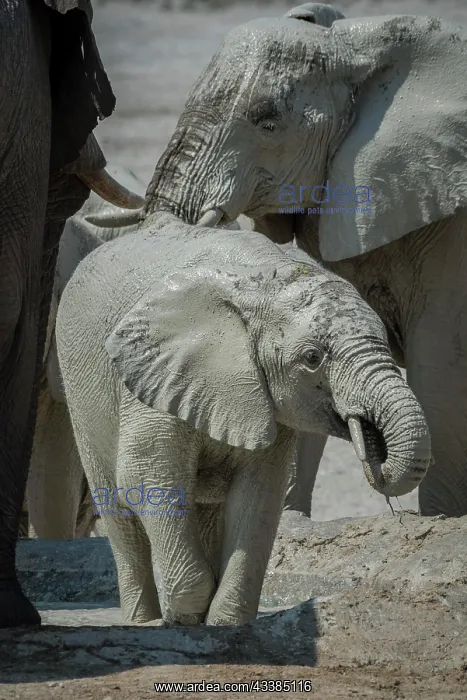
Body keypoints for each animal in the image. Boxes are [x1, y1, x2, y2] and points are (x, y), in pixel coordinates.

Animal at [55, 211, 431, 626]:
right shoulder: (157, 373)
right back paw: (143, 621)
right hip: (79, 391)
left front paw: (224, 625)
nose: (371, 446)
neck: (262, 280)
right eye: (312, 358)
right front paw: (180, 619)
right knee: (119, 512)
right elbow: (147, 474)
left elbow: (259, 493)